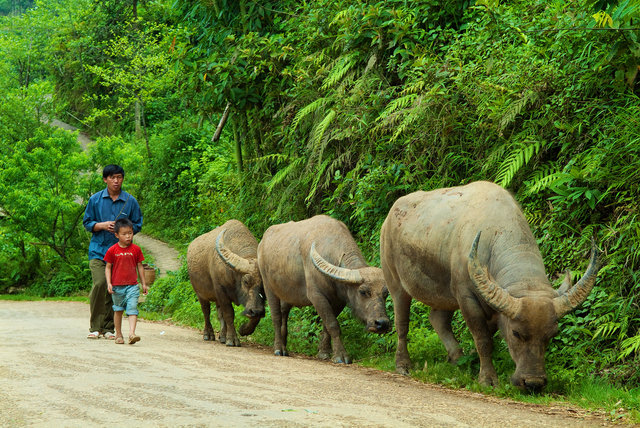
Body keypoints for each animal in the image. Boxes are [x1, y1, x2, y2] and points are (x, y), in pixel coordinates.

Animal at [258, 216, 392, 362]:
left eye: (385, 293)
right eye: (363, 292)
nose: (382, 323)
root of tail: (262, 243)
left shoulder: (339, 301)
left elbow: (327, 325)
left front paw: (324, 352)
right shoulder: (316, 296)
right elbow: (333, 324)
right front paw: (341, 355)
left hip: (287, 293)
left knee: (283, 314)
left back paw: (284, 344)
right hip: (268, 286)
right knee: (276, 317)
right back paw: (279, 348)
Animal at [382, 182, 604, 390]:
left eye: (552, 335)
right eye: (516, 333)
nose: (533, 382)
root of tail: (388, 218)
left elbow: (488, 336)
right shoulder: (466, 296)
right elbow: (483, 340)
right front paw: (488, 379)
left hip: (445, 294)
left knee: (438, 319)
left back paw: (457, 358)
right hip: (395, 282)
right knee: (402, 323)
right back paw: (403, 364)